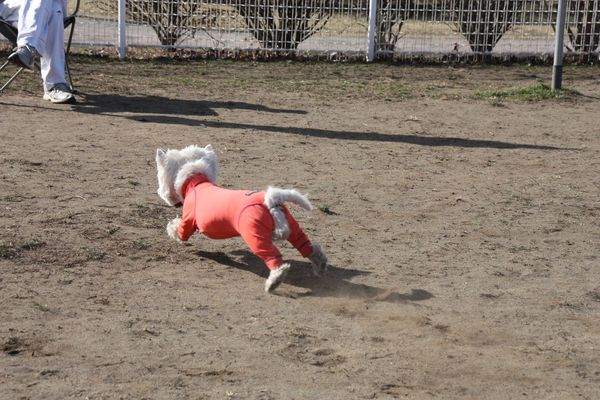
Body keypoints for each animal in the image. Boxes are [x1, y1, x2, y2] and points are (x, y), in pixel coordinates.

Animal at [152, 145, 326, 292]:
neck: (195, 182)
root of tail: (271, 200)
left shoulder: (188, 221)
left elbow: (179, 230)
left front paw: (171, 228)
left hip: (255, 236)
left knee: (274, 258)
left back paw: (274, 281)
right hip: (293, 228)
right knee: (308, 247)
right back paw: (320, 265)